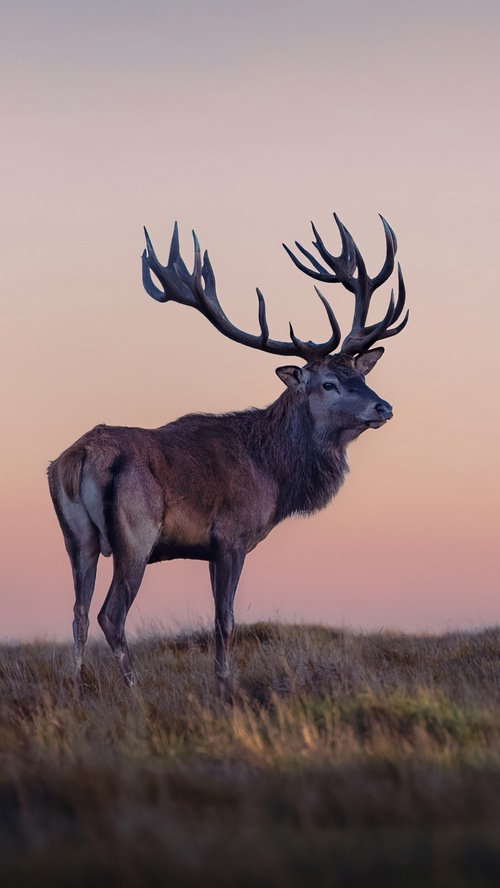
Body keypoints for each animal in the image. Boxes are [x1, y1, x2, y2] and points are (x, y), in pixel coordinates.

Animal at [48, 213, 407, 695]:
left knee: (79, 613)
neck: (273, 475)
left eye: (359, 375)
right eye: (328, 383)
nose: (382, 407)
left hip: (76, 539)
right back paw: (135, 690)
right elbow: (225, 619)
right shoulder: (231, 537)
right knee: (111, 614)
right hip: (135, 535)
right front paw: (224, 685)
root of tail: (78, 457)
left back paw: (75, 685)